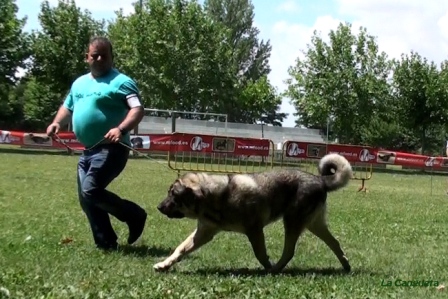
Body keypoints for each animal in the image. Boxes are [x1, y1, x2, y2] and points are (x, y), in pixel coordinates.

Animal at [154, 154, 354, 274]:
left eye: (173, 194)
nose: (158, 207)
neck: (216, 197)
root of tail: (321, 179)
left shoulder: (255, 230)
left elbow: (260, 254)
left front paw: (266, 266)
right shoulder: (203, 233)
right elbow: (180, 249)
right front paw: (164, 264)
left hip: (292, 222)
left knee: (289, 251)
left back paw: (274, 269)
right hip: (314, 224)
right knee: (335, 243)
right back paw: (345, 265)